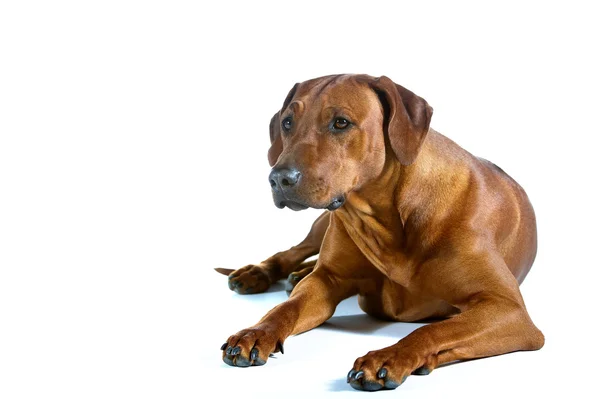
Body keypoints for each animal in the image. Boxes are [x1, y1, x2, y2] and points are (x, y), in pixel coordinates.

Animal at [216, 74, 544, 390]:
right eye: (287, 123)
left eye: (341, 122)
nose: (279, 179)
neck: (386, 217)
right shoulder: (326, 280)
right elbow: (285, 308)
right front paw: (256, 332)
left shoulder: (508, 309)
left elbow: (434, 329)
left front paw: (391, 357)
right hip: (322, 225)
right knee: (292, 252)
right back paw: (257, 273)